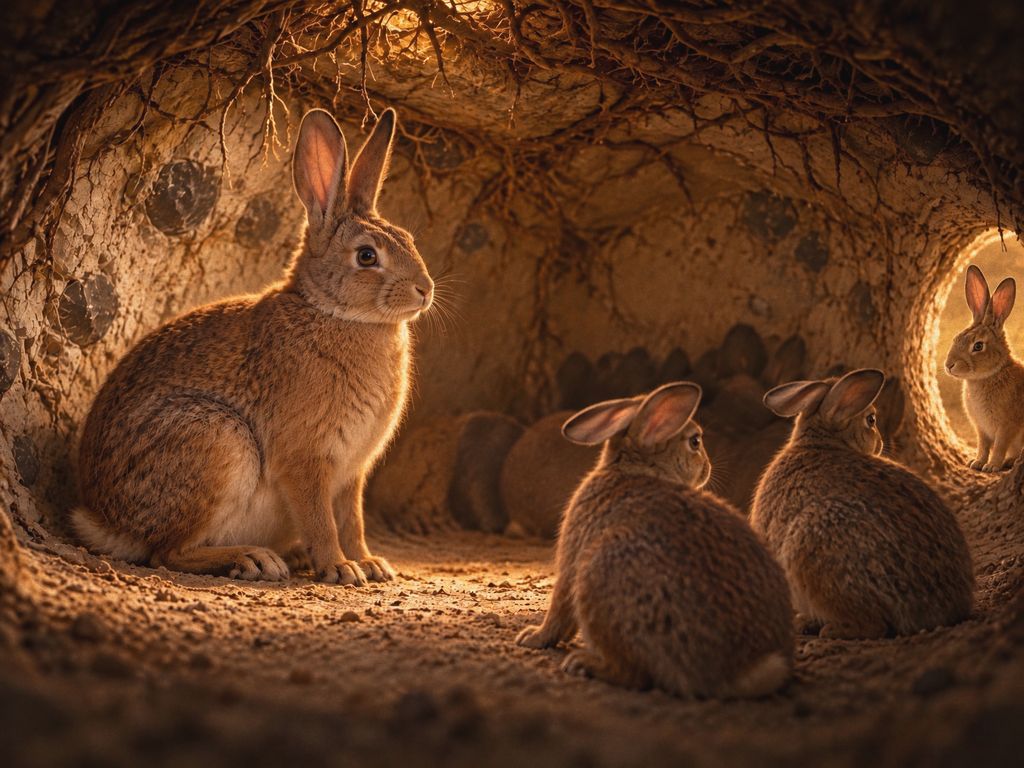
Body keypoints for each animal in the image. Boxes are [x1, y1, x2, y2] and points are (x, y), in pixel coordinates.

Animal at [72, 107, 434, 585]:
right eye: (367, 256)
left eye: (409, 239)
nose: (425, 290)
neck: (334, 313)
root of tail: (106, 522)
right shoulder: (306, 458)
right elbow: (322, 520)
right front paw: (341, 568)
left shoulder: (352, 472)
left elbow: (351, 519)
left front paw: (370, 564)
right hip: (217, 441)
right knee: (167, 553)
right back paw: (254, 559)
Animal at [516, 382, 794, 699]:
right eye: (695, 442)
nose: (708, 467)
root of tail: (742, 671)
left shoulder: (572, 562)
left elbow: (558, 613)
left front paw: (532, 637)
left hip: (599, 576)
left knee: (634, 675)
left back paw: (583, 663)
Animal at [944, 264, 1024, 472]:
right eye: (956, 338)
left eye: (978, 346)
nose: (949, 365)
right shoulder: (981, 429)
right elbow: (983, 446)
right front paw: (976, 463)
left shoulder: (1007, 427)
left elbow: (999, 446)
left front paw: (992, 466)